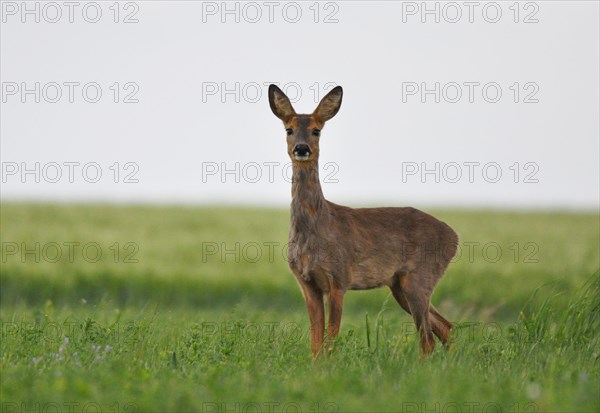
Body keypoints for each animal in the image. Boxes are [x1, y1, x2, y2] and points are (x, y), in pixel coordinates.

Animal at [268, 83, 460, 358]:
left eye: (316, 130)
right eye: (289, 129)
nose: (302, 149)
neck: (316, 227)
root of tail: (455, 236)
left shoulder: (339, 278)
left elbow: (330, 339)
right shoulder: (307, 283)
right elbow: (315, 343)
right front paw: (315, 366)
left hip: (420, 277)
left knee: (428, 338)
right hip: (398, 285)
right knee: (445, 327)